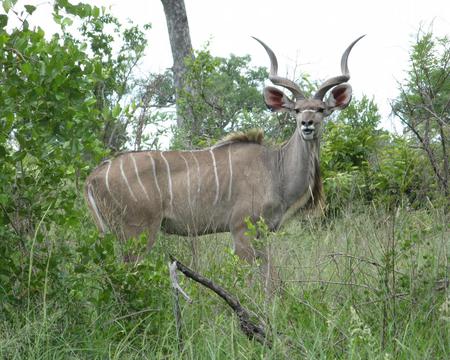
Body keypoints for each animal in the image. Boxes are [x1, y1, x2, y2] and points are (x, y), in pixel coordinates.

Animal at [85, 35, 366, 268]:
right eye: (296, 110)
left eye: (321, 109)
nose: (307, 124)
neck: (275, 168)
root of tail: (93, 177)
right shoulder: (241, 229)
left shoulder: (264, 232)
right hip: (139, 232)